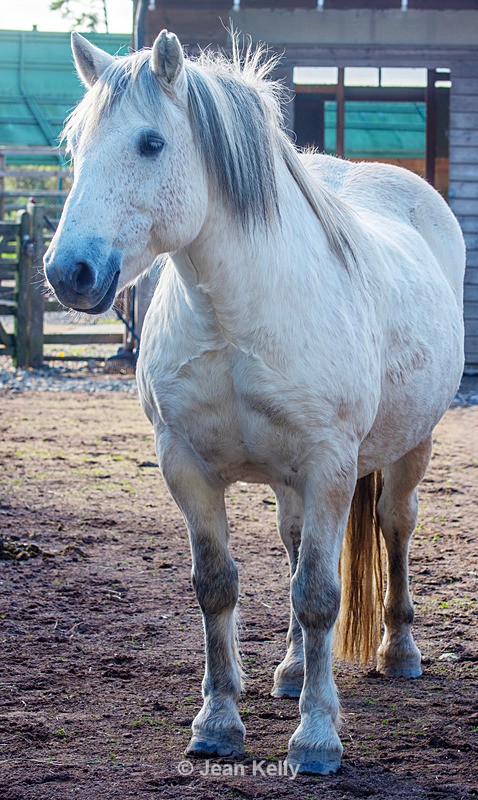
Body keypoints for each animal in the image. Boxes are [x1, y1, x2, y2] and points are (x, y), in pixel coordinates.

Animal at [43, 30, 465, 775]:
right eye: (75, 144)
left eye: (151, 142)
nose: (71, 273)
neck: (236, 317)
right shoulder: (185, 466)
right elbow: (219, 585)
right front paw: (217, 723)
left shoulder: (330, 465)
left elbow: (321, 596)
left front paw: (317, 737)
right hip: (291, 482)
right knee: (297, 548)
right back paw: (294, 670)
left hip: (409, 449)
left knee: (394, 529)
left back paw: (400, 652)